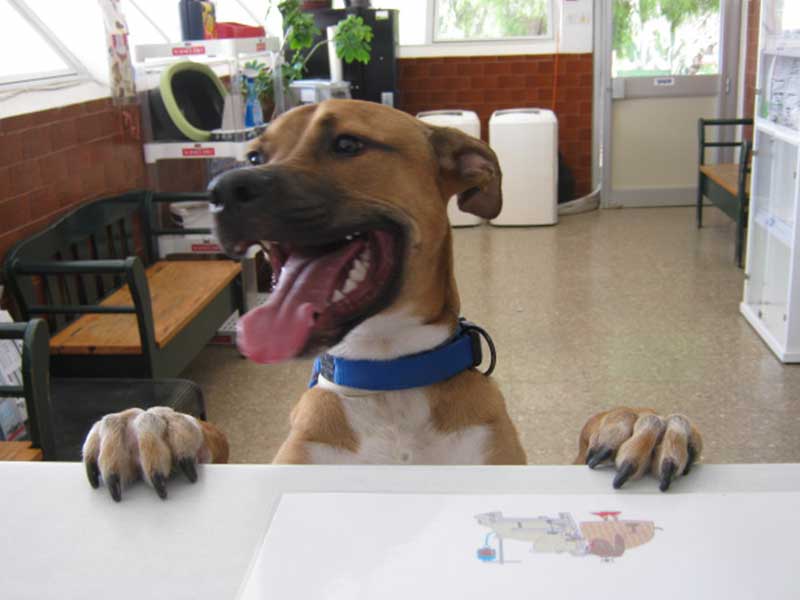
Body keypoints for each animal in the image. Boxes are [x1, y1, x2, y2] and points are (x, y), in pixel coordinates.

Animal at [82, 100, 702, 501]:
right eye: (255, 156)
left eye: (347, 144)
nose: (222, 190)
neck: (389, 382)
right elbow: (216, 439)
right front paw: (150, 426)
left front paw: (638, 424)